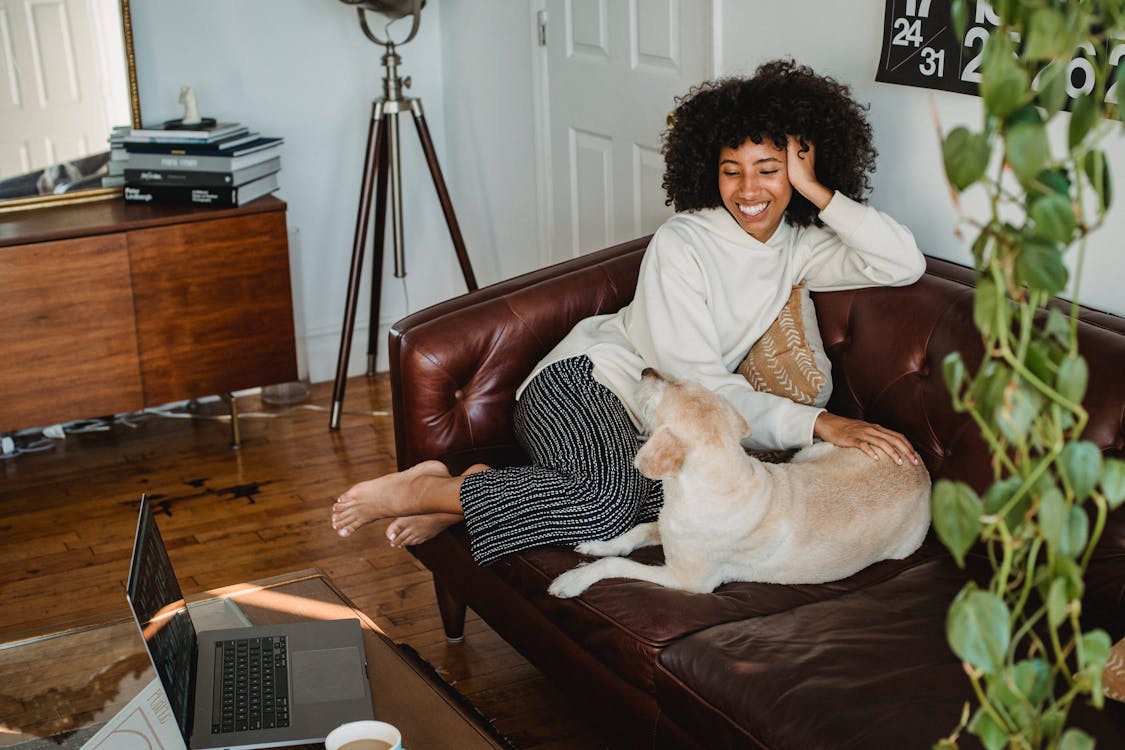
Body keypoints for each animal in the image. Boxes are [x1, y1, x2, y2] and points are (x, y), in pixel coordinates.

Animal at [546, 368, 931, 598]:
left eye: (667, 390)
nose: (646, 370)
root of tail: (923, 469)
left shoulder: (687, 580)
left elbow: (618, 565)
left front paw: (573, 580)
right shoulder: (668, 527)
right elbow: (637, 531)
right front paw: (599, 545)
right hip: (810, 453)